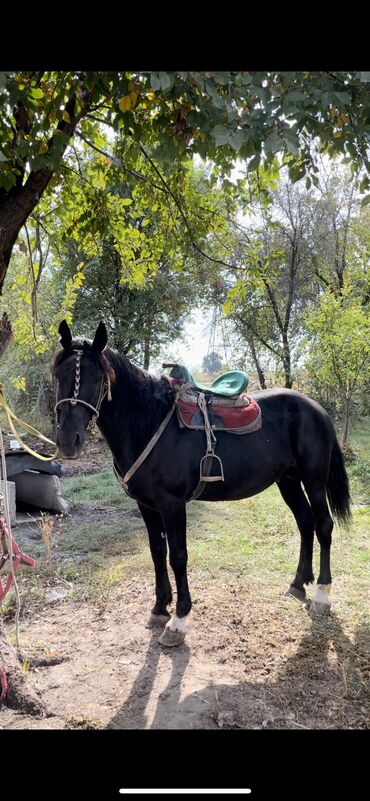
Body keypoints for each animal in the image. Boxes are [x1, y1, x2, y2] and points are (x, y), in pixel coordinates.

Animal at [53, 318, 352, 644]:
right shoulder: (147, 505)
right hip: (287, 481)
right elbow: (157, 553)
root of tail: (316, 408)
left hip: (314, 481)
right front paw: (159, 609)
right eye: (58, 375)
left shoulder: (172, 504)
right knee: (305, 522)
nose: (68, 441)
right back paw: (298, 583)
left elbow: (178, 556)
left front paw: (178, 621)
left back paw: (322, 594)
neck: (148, 422)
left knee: (323, 525)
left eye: (96, 378)